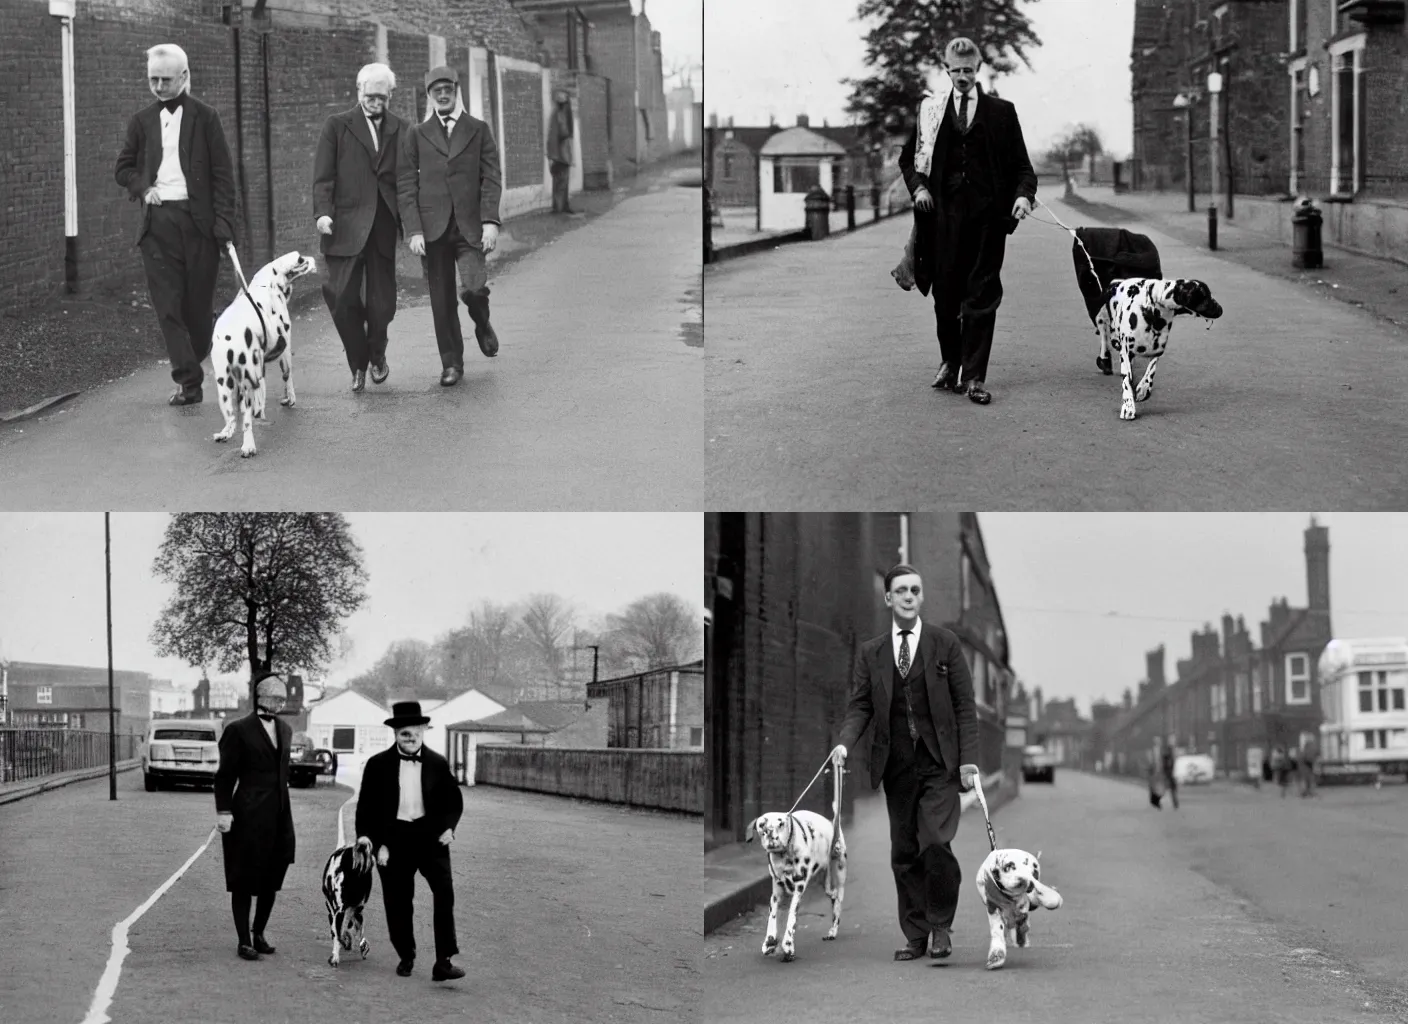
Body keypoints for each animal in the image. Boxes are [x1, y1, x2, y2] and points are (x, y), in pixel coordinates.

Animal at [211, 250, 316, 459]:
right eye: (301, 259)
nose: (314, 258)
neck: (268, 284)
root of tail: (230, 338)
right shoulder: (284, 348)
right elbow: (287, 377)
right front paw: (290, 398)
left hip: (224, 386)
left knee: (232, 418)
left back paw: (226, 433)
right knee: (246, 422)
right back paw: (248, 446)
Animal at [749, 811, 844, 963]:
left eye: (781, 823)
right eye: (761, 824)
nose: (769, 833)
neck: (784, 856)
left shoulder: (798, 890)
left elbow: (791, 918)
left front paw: (788, 946)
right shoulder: (776, 894)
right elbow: (772, 916)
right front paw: (770, 941)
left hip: (840, 874)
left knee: (838, 901)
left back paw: (833, 931)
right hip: (826, 885)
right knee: (833, 895)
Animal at [1092, 276, 1216, 419]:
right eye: (1206, 296)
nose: (1220, 309)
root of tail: (1117, 282)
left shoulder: (1157, 349)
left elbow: (1151, 370)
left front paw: (1144, 388)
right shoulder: (1125, 350)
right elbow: (1126, 380)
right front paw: (1128, 406)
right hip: (1104, 323)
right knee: (1104, 333)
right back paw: (1104, 357)